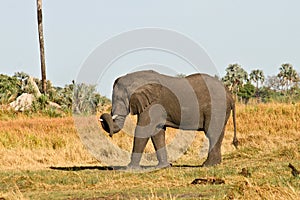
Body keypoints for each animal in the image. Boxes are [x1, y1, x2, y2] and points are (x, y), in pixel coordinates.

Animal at [99, 69, 238, 168]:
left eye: (121, 99)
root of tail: (230, 95)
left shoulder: (153, 104)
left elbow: (144, 130)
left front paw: (130, 168)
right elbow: (157, 132)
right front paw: (163, 166)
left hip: (216, 107)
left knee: (212, 133)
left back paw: (207, 165)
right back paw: (215, 164)